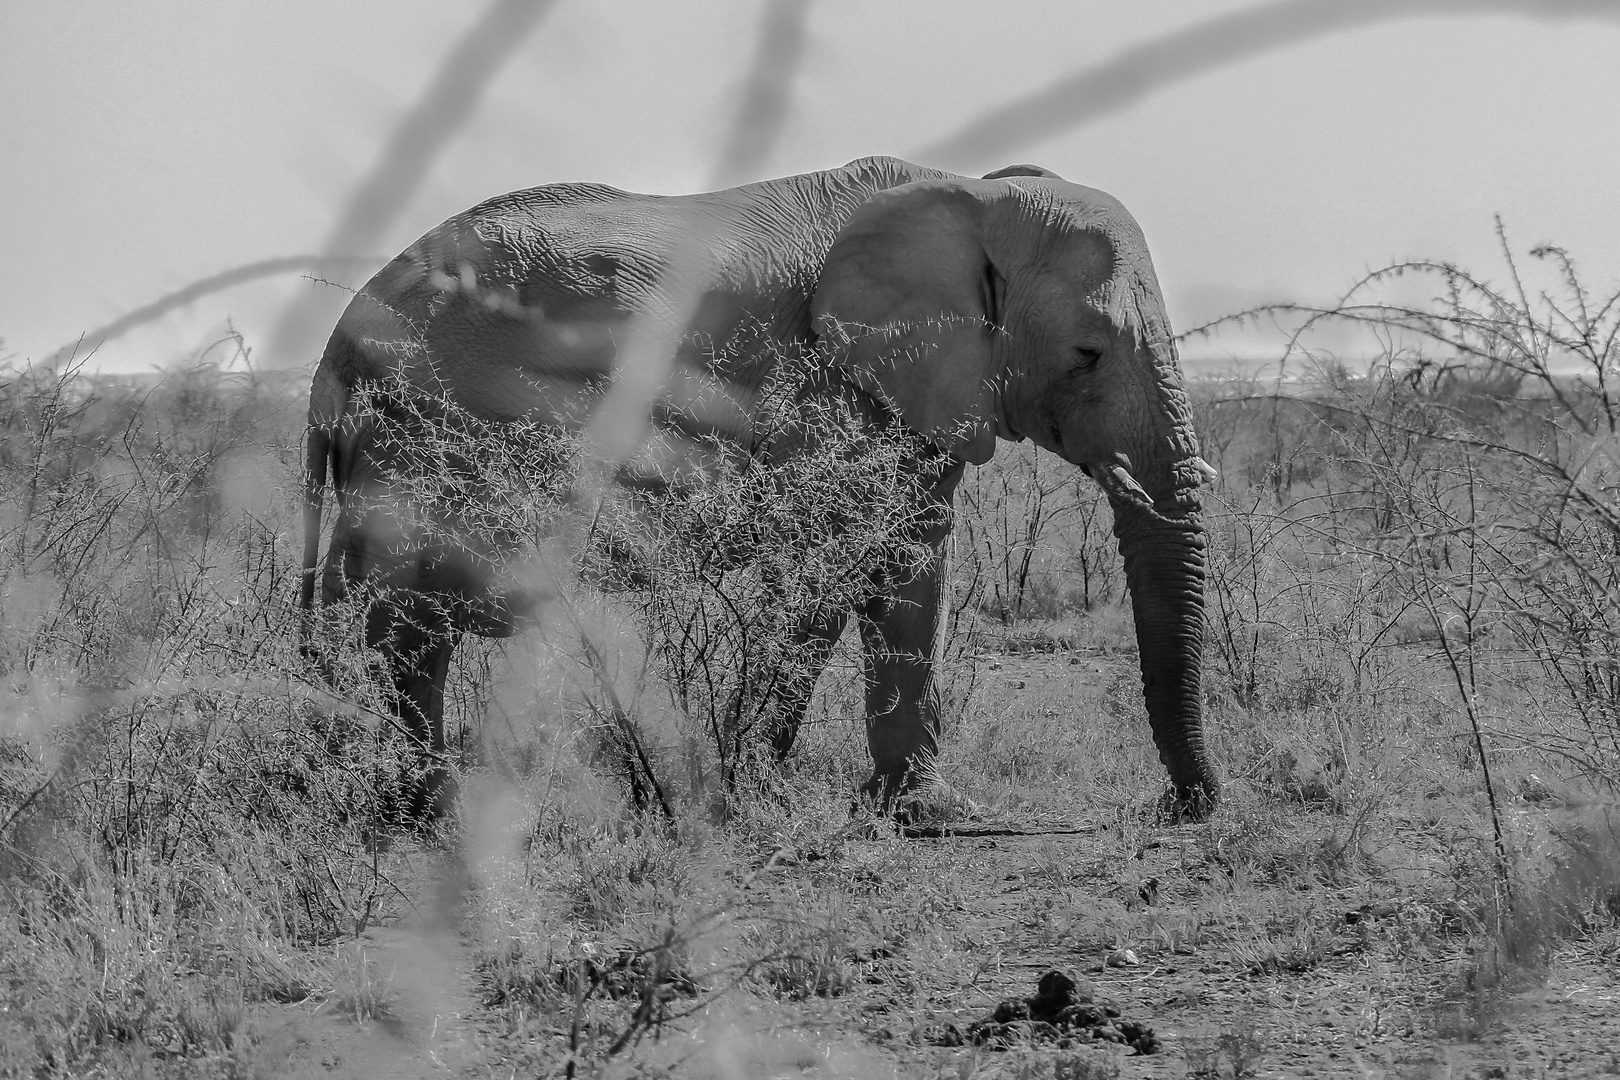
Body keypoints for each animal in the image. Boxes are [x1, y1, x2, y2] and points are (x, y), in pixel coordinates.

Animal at [301, 156, 1218, 819]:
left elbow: (913, 567)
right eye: (1088, 352)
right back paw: (434, 810)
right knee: (411, 617)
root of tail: (337, 345)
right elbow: (827, 567)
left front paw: (924, 813)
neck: (971, 193)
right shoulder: (824, 382)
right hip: (427, 431)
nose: (1183, 805)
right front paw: (754, 799)